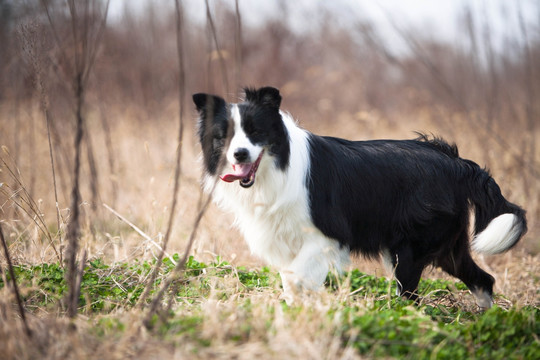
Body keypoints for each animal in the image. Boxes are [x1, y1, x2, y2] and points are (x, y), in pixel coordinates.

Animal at [194, 86, 528, 306]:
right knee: (483, 280)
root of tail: (456, 162)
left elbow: (300, 277)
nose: (239, 154)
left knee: (412, 296)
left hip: (409, 250)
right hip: (447, 247)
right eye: (224, 136)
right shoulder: (286, 241)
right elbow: (291, 282)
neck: (276, 166)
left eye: (255, 131)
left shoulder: (327, 237)